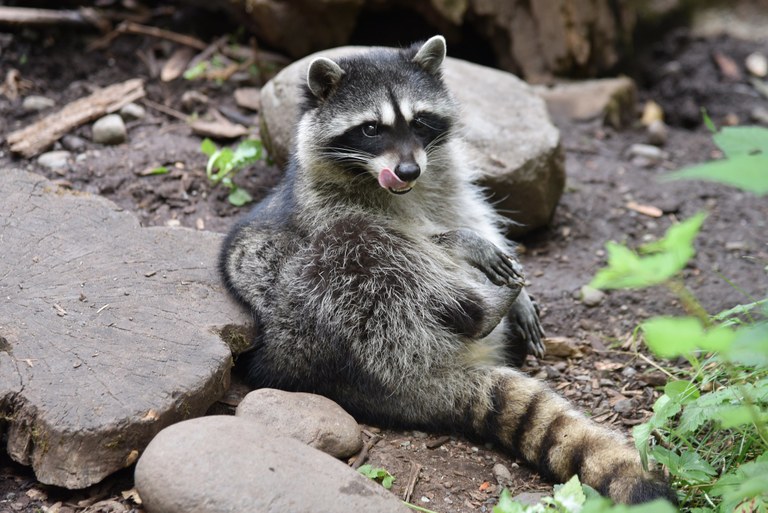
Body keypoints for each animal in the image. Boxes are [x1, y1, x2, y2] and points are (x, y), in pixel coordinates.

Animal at [220, 36, 675, 505]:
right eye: (371, 129)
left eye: (419, 121)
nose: (408, 170)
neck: (400, 188)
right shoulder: (319, 204)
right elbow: (412, 238)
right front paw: (458, 241)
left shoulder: (446, 174)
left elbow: (471, 211)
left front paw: (490, 251)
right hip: (306, 319)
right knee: (364, 252)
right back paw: (479, 309)